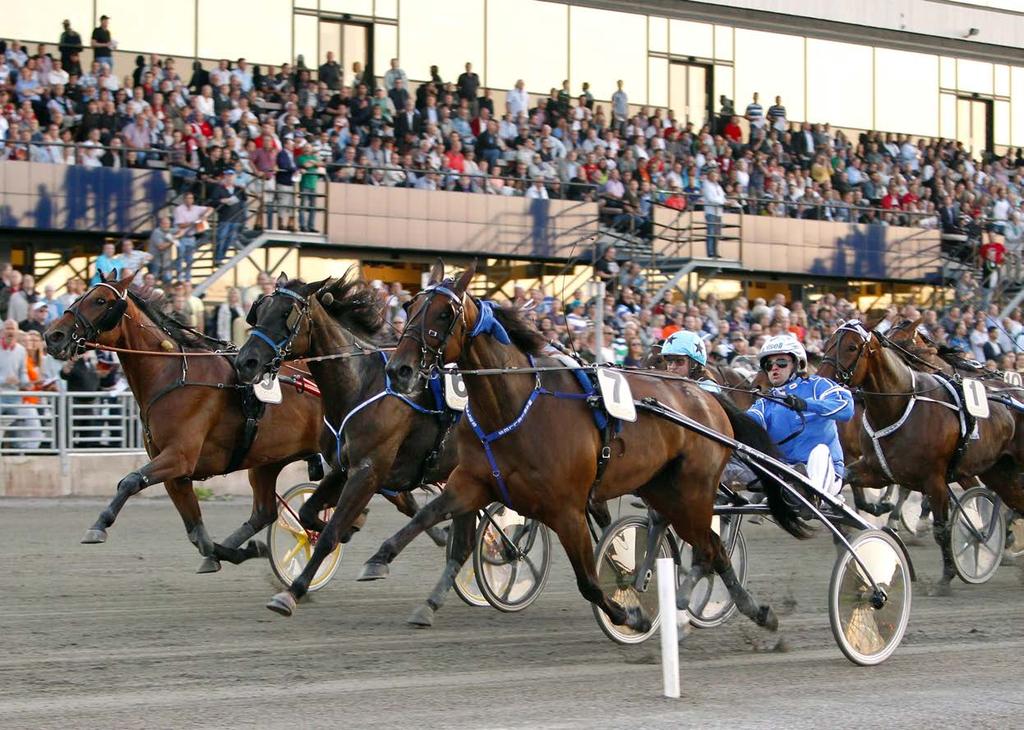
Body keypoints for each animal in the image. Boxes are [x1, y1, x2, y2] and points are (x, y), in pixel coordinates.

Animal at [43, 272, 323, 569]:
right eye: (80, 295)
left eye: (100, 300)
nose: (53, 336)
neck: (174, 375)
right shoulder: (176, 473)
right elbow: (197, 533)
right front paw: (231, 552)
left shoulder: (179, 456)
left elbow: (130, 480)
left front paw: (99, 525)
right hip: (267, 461)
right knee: (264, 512)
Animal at [360, 259, 806, 634]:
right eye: (410, 305)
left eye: (444, 313)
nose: (399, 369)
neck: (515, 408)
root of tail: (708, 397)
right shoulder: (472, 482)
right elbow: (425, 516)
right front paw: (378, 560)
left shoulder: (567, 509)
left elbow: (589, 582)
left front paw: (630, 613)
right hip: (663, 490)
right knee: (705, 547)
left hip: (693, 493)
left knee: (713, 548)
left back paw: (750, 610)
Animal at [819, 321, 1024, 589]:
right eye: (829, 343)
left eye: (852, 347)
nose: (820, 377)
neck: (900, 408)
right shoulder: (877, 469)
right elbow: (848, 483)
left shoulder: (935, 479)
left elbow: (942, 527)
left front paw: (947, 575)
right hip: (999, 472)